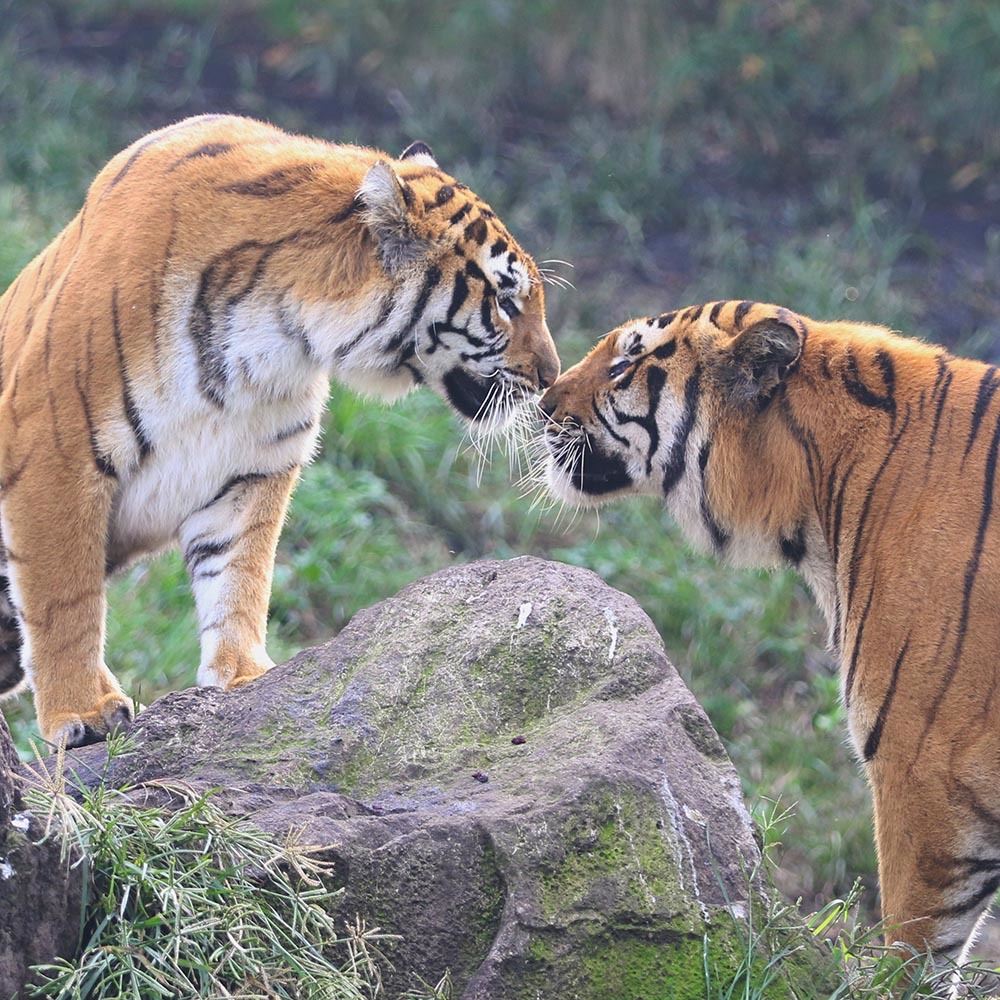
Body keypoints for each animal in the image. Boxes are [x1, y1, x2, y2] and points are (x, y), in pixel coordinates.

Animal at [0, 111, 560, 752]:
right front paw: (84, 711)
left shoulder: (250, 470)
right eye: (506, 301)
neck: (277, 333)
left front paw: (244, 677)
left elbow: (239, 581)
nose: (551, 377)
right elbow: (66, 601)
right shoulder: (56, 451)